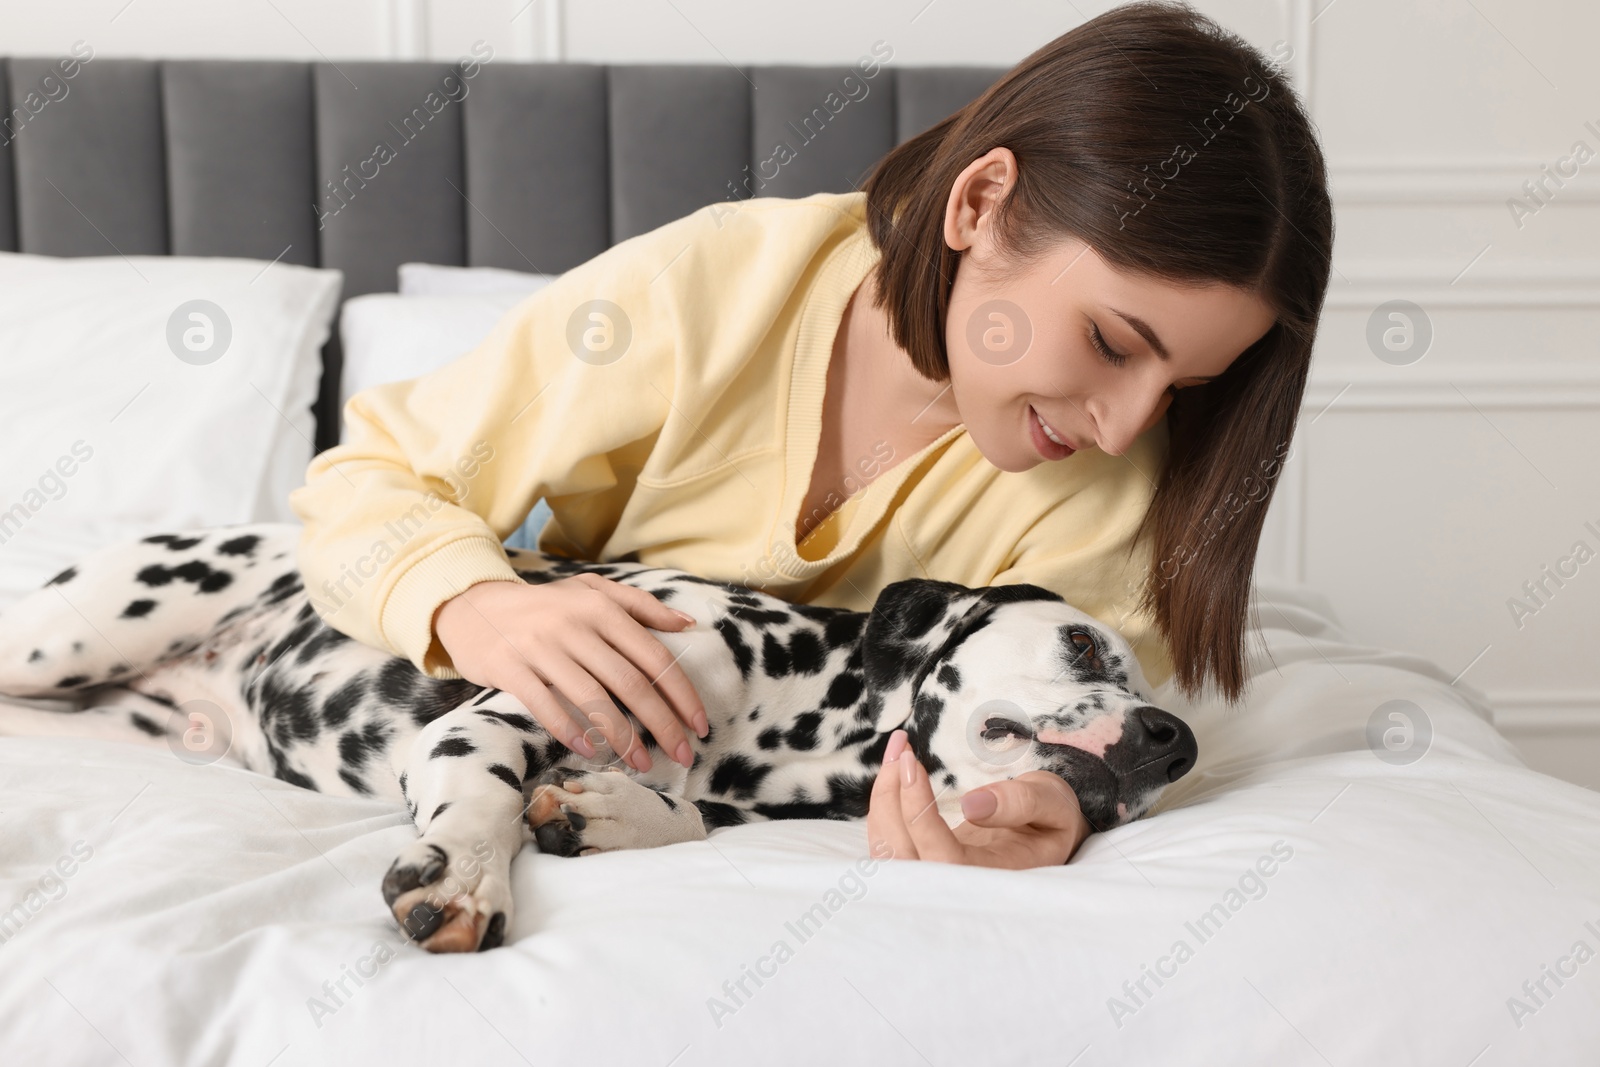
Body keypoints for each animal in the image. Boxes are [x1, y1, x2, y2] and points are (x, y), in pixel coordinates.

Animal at [0, 524, 1196, 953]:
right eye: (1084, 644)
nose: (1173, 740)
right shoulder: (490, 718)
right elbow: (483, 796)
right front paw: (469, 874)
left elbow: (684, 818)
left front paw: (605, 808)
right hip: (72, 632)